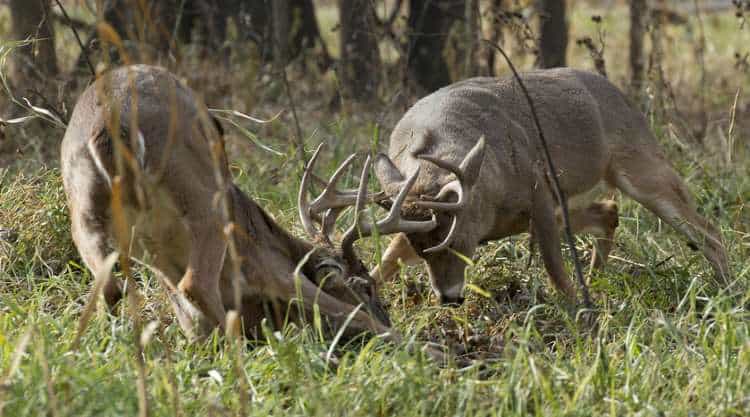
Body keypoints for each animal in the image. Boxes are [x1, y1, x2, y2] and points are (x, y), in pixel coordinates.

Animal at [60, 66, 440, 344]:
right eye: (366, 286)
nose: (387, 315)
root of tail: (110, 127)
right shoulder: (273, 272)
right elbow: (349, 313)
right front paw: (424, 350)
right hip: (202, 199)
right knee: (194, 285)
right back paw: (238, 348)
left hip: (85, 212)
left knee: (109, 287)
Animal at [374, 67, 732, 302]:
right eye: (422, 250)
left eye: (458, 241)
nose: (449, 298)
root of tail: (622, 95)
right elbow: (387, 260)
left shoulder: (539, 191)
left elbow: (554, 269)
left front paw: (583, 317)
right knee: (609, 211)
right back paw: (597, 279)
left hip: (640, 165)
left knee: (709, 231)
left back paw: (728, 292)